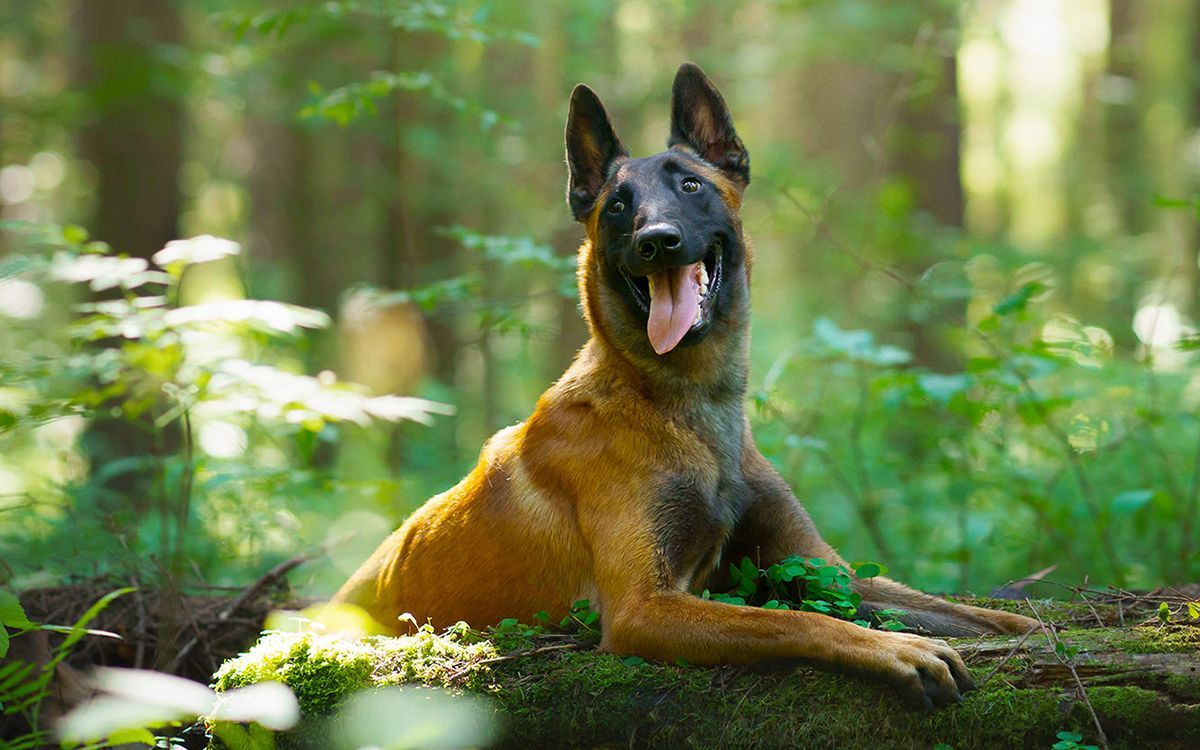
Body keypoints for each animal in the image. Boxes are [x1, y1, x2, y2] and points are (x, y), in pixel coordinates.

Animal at [331, 60, 1041, 705]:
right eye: (619, 205)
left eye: (693, 186)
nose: (657, 239)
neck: (690, 405)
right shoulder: (645, 607)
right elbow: (789, 622)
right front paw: (898, 650)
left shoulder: (829, 571)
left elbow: (978, 615)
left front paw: (1029, 631)